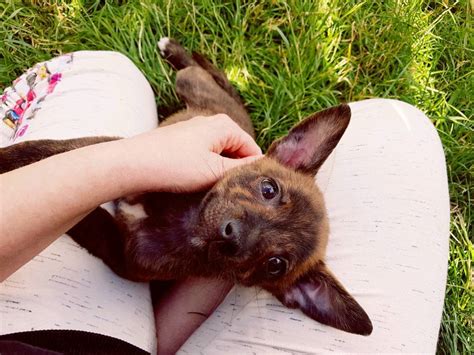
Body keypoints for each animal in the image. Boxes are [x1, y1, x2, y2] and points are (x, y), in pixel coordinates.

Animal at [0, 39, 370, 336]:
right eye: (269, 189)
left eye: (276, 264)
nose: (231, 236)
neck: (183, 219)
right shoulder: (127, 150)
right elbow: (50, 149)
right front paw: (10, 157)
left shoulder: (122, 254)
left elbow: (85, 215)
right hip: (189, 85)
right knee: (204, 73)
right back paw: (176, 51)